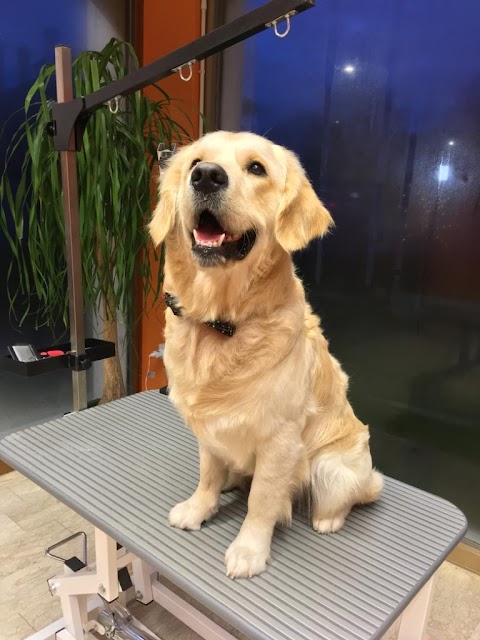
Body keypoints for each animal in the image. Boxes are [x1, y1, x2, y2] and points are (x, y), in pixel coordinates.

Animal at [150, 131, 382, 580]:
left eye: (256, 168)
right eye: (195, 163)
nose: (207, 176)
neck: (220, 322)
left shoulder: (280, 440)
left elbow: (261, 501)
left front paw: (249, 550)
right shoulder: (209, 430)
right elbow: (207, 473)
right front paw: (199, 508)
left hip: (333, 467)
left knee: (348, 495)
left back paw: (328, 519)